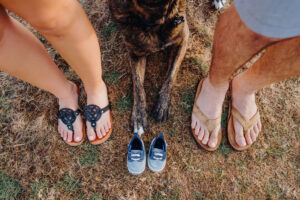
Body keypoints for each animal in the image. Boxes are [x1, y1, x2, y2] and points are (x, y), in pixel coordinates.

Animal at [109, 0, 190, 134]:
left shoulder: (183, 39)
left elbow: (171, 76)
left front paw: (162, 104)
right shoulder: (135, 52)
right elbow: (138, 85)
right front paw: (138, 116)